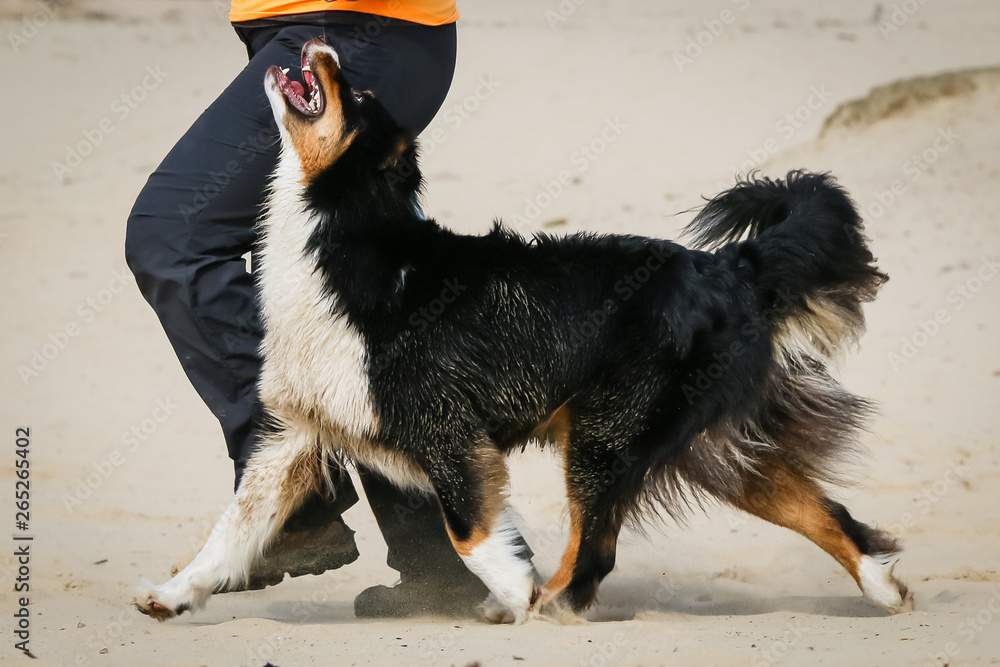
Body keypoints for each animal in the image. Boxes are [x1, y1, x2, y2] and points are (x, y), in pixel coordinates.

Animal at [135, 39, 916, 624]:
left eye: (356, 97)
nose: (321, 41)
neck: (342, 237)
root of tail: (731, 265)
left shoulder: (446, 428)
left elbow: (471, 531)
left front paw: (511, 587)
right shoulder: (292, 434)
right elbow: (230, 532)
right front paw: (171, 595)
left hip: (607, 433)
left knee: (596, 549)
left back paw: (544, 605)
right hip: (707, 446)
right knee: (823, 509)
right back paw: (886, 589)